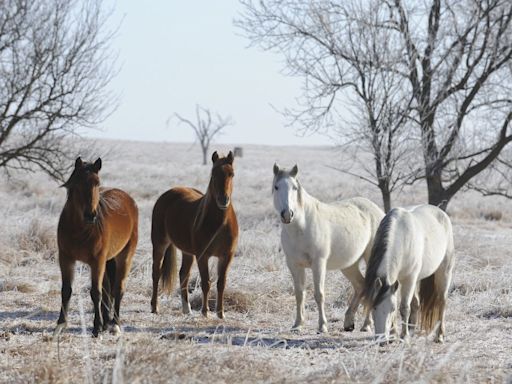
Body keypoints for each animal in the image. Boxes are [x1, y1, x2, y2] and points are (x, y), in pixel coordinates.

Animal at [53, 156, 138, 336]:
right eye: (78, 183)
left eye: (97, 183)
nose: (90, 215)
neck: (79, 229)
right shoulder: (65, 258)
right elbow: (66, 290)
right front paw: (60, 325)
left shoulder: (96, 261)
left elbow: (95, 293)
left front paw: (96, 328)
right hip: (107, 261)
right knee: (108, 289)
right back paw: (107, 323)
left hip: (124, 257)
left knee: (118, 289)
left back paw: (115, 324)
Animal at [151, 152, 239, 320]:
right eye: (213, 174)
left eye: (232, 174)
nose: (223, 200)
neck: (220, 223)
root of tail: (168, 194)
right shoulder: (203, 256)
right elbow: (206, 282)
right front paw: (205, 312)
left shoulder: (227, 256)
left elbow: (221, 283)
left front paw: (221, 313)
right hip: (159, 243)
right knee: (156, 273)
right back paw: (155, 307)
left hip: (187, 253)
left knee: (183, 274)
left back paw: (187, 309)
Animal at [272, 164, 384, 332]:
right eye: (276, 187)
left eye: (294, 188)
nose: (287, 214)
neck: (300, 227)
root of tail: (378, 211)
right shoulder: (294, 264)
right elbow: (299, 294)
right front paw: (298, 324)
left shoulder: (318, 263)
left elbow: (319, 294)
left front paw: (322, 326)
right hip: (349, 265)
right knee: (361, 285)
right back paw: (349, 322)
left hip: (370, 257)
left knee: (372, 286)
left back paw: (366, 325)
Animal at [364, 204, 456, 342]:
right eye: (373, 307)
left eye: (392, 309)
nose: (382, 340)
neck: (400, 236)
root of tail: (441, 212)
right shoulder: (395, 282)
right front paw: (394, 334)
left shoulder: (409, 279)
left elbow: (404, 307)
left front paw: (404, 335)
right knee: (416, 303)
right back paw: (412, 330)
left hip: (444, 272)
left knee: (442, 301)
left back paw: (439, 335)